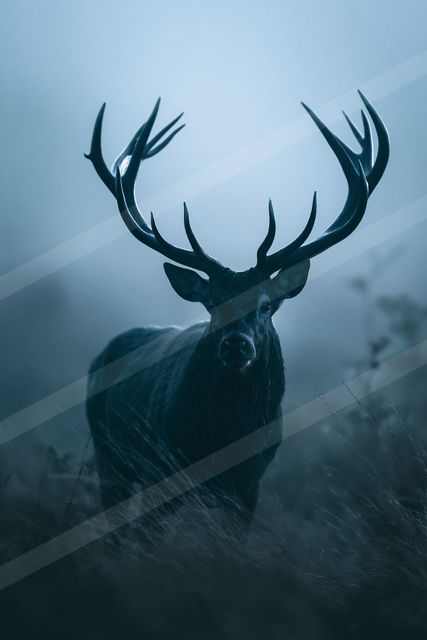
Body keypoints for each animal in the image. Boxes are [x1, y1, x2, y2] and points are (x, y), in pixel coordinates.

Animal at [85, 93, 389, 538]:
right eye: (212, 305)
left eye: (266, 305)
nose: (236, 346)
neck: (222, 437)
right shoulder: (163, 468)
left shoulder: (251, 483)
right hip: (110, 456)